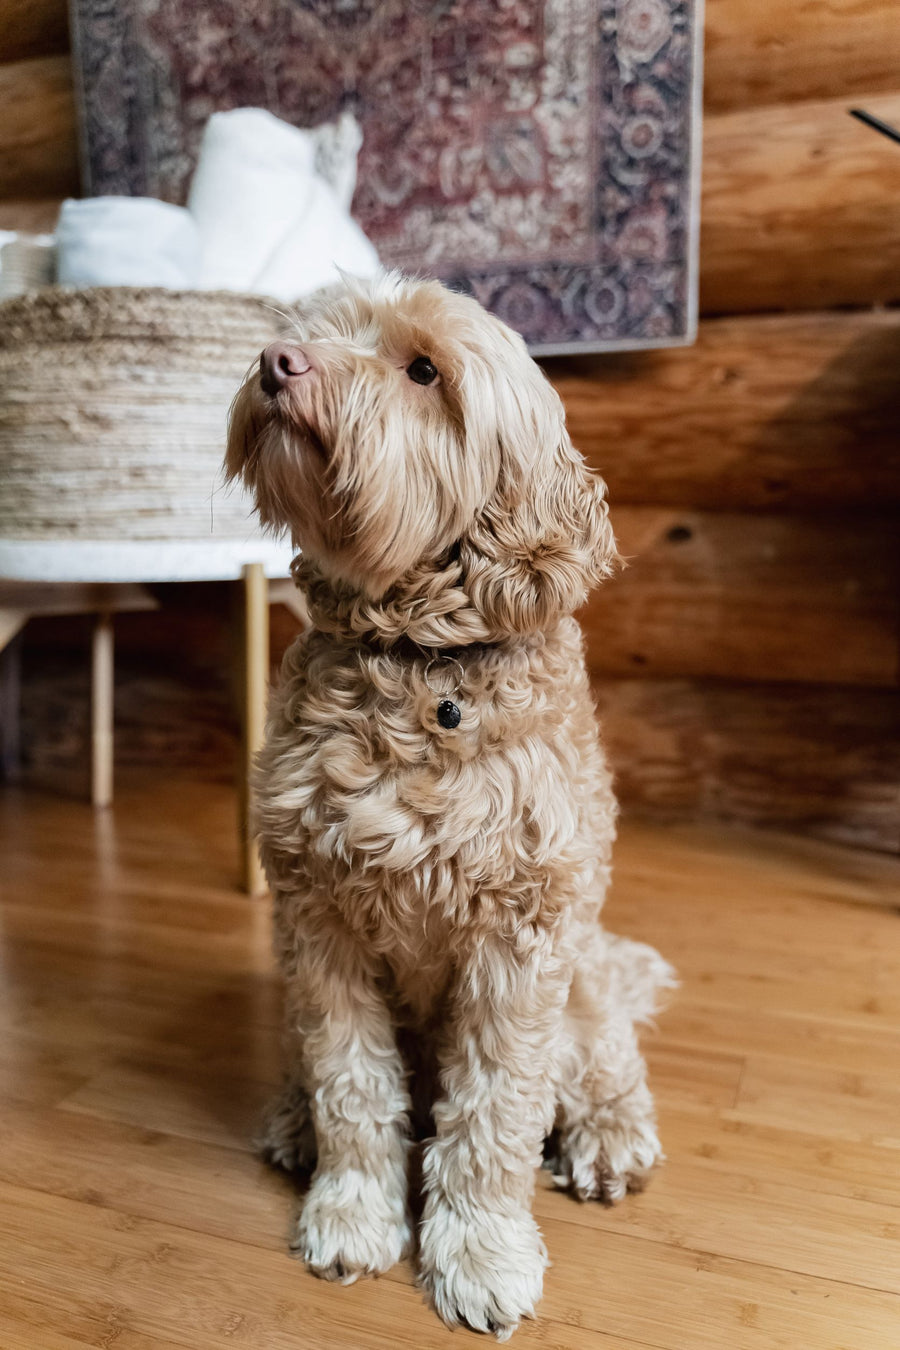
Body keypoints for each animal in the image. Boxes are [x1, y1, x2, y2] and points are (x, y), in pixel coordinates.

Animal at [225, 274, 674, 1339]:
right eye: (314, 331)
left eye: (424, 370)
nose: (275, 364)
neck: (416, 667)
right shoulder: (318, 922)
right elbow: (352, 1085)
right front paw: (351, 1213)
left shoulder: (519, 944)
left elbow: (494, 1114)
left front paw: (480, 1257)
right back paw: (292, 1120)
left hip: (583, 984)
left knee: (609, 1065)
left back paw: (610, 1140)